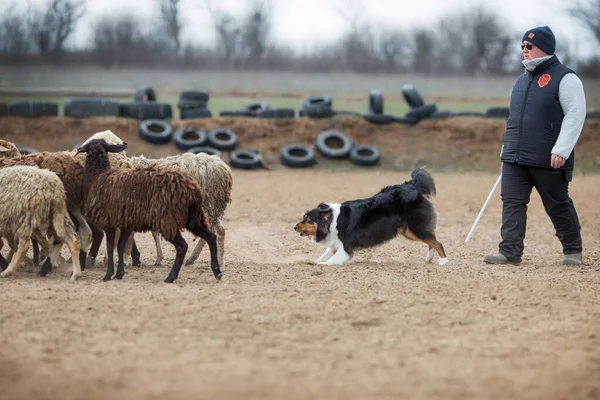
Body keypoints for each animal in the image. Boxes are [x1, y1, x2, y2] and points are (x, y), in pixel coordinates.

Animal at [73, 139, 223, 282]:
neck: (98, 176)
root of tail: (193, 190)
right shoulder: (126, 224)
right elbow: (121, 246)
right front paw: (119, 274)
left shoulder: (109, 222)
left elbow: (110, 248)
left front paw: (108, 275)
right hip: (195, 218)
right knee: (211, 236)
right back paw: (217, 271)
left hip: (168, 220)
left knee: (183, 246)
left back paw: (171, 277)